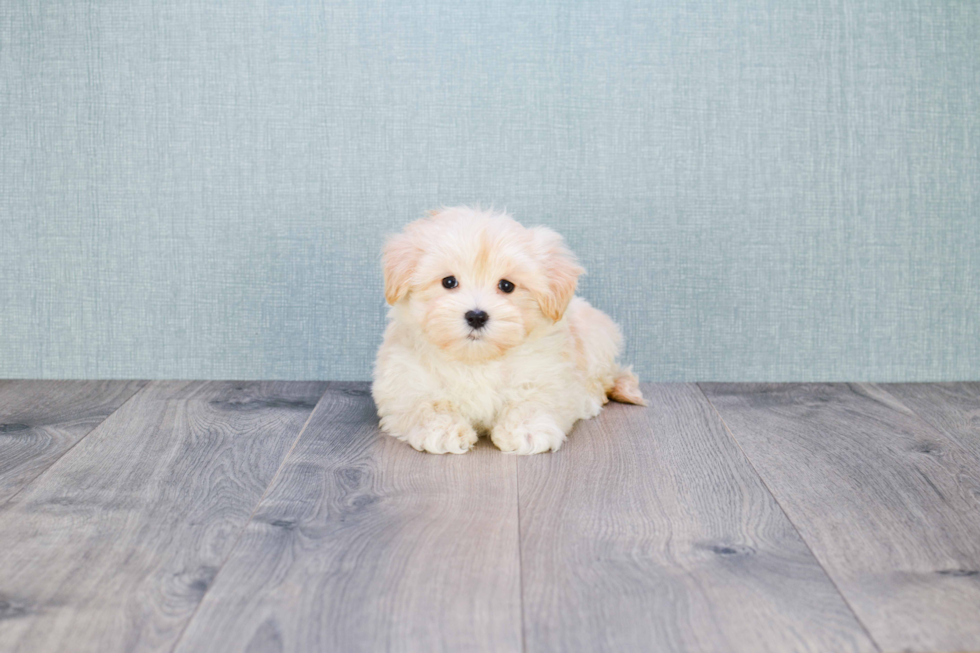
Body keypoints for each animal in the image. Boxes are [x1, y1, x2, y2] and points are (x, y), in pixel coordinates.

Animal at [372, 205, 648, 454]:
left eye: (507, 286)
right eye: (448, 282)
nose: (476, 316)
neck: (476, 361)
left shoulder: (546, 371)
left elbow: (533, 399)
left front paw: (527, 430)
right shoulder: (404, 379)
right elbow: (426, 404)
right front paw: (442, 430)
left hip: (596, 336)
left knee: (602, 380)